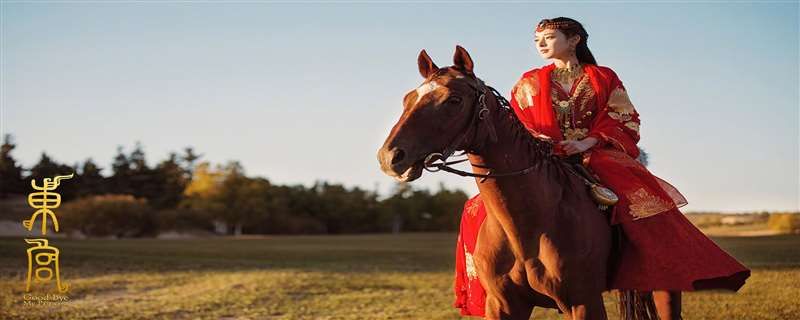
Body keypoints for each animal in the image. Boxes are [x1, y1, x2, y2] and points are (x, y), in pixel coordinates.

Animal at [376, 46, 620, 318]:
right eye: (408, 99)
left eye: (454, 100)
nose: (389, 157)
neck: (529, 230)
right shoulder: (502, 303)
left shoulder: (585, 302)